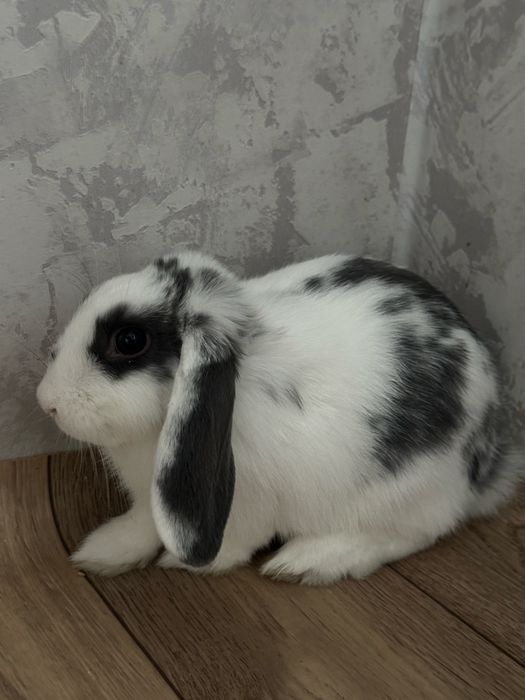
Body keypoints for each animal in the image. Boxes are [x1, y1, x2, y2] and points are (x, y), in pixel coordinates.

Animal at [36, 251, 523, 584]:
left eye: (129, 340)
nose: (47, 402)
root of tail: (486, 463)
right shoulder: (152, 499)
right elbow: (142, 524)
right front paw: (102, 552)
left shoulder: (240, 508)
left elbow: (231, 545)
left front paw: (187, 563)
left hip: (405, 492)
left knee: (412, 532)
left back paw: (308, 561)